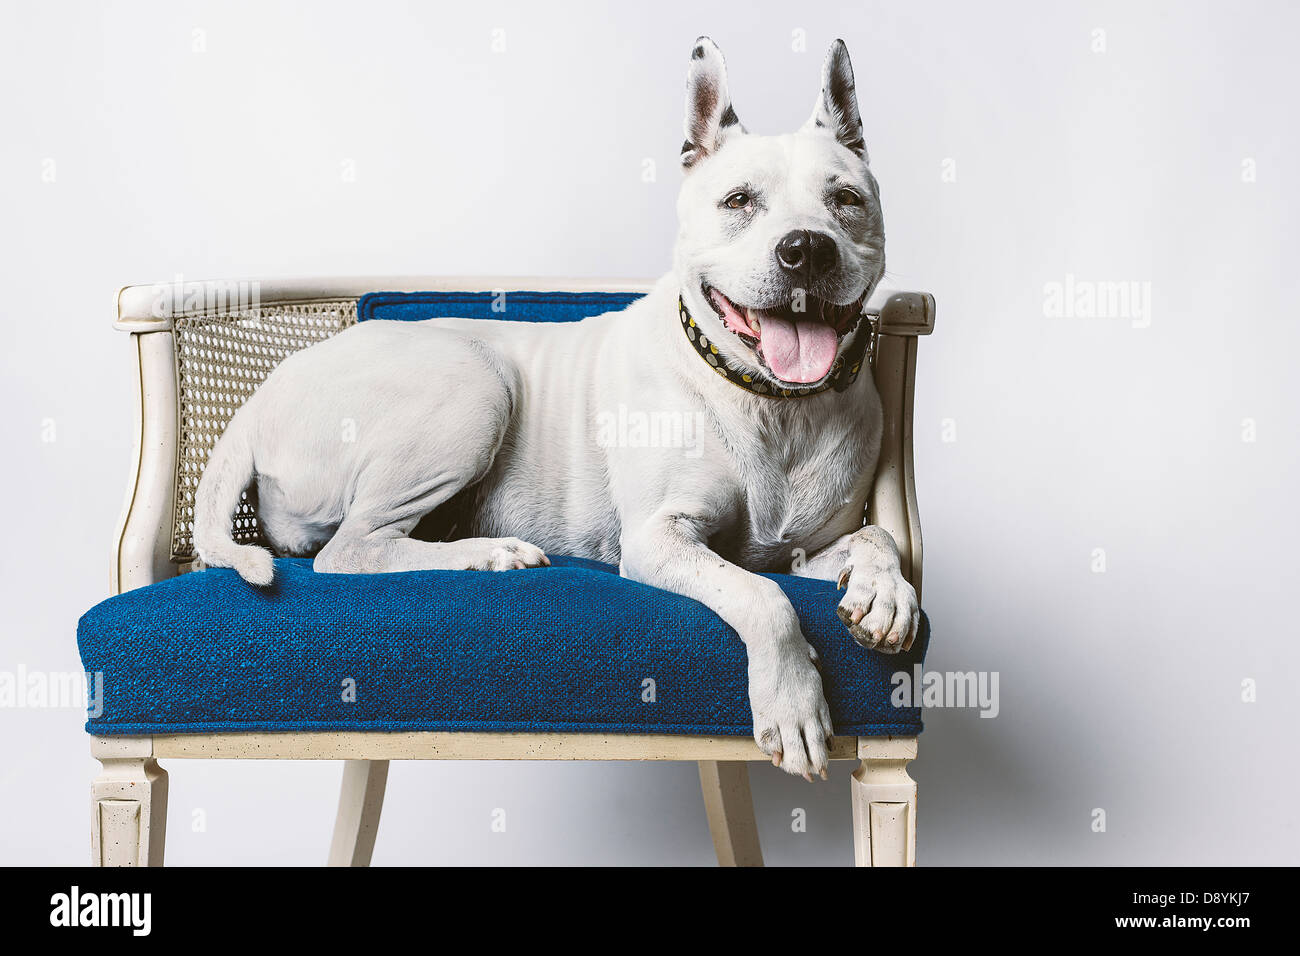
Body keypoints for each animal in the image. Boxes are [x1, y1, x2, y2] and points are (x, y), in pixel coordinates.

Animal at [197, 39, 920, 785]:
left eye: (846, 199)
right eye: (739, 200)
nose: (806, 247)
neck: (771, 403)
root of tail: (259, 398)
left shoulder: (799, 548)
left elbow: (875, 537)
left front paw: (885, 592)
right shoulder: (659, 541)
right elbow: (763, 598)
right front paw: (792, 700)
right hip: (474, 382)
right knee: (350, 549)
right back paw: (490, 554)